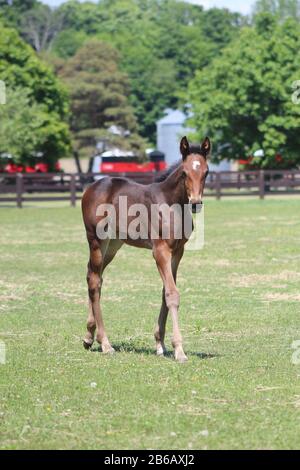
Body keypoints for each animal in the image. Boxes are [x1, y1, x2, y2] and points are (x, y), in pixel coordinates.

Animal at [81, 137, 210, 364]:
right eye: (184, 173)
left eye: (206, 172)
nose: (195, 203)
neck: (171, 203)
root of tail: (92, 187)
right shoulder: (160, 251)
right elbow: (172, 294)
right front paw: (179, 350)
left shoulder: (178, 252)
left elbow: (165, 292)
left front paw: (160, 344)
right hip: (96, 240)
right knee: (95, 281)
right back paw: (105, 343)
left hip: (112, 244)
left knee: (94, 276)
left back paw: (89, 336)